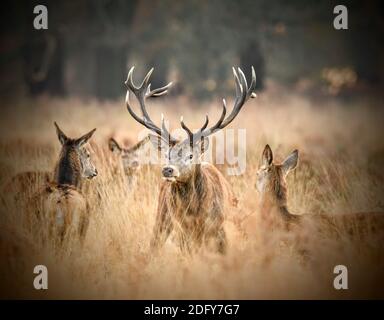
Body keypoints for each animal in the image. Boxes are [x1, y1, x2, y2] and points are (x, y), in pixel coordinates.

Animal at [124, 66, 256, 254]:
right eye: (167, 154)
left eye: (191, 155)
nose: (168, 170)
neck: (196, 215)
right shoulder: (182, 232)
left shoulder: (220, 230)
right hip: (162, 220)